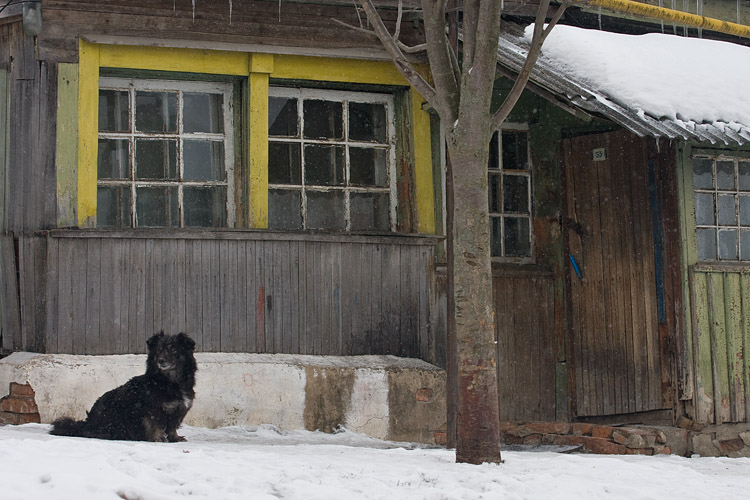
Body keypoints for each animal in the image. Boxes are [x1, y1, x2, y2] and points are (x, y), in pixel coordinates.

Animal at [53, 332, 200, 442]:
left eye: (174, 349)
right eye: (159, 350)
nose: (161, 361)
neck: (168, 382)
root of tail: (87, 422)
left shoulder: (179, 410)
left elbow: (172, 427)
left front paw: (175, 438)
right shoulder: (153, 410)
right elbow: (156, 425)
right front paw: (159, 438)